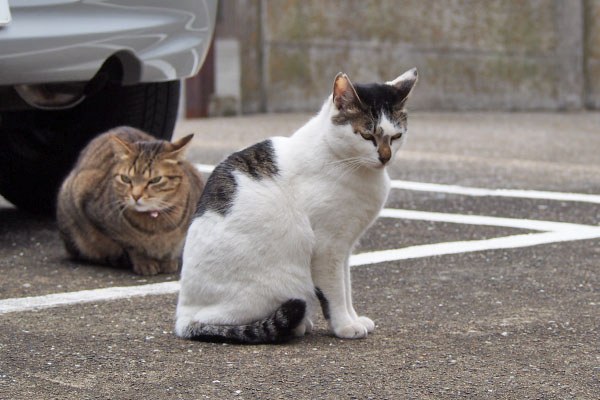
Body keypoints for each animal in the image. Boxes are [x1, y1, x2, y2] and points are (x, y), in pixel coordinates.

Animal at [58, 127, 204, 276]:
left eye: (155, 180)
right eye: (125, 179)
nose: (136, 195)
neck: (156, 225)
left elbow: (173, 248)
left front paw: (168, 260)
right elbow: (132, 246)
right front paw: (144, 262)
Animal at [175, 67, 418, 342]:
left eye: (396, 136)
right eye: (367, 135)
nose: (385, 157)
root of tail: (184, 319)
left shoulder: (344, 247)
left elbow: (346, 286)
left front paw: (354, 318)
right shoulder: (328, 247)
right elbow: (335, 293)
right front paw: (345, 326)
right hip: (282, 283)